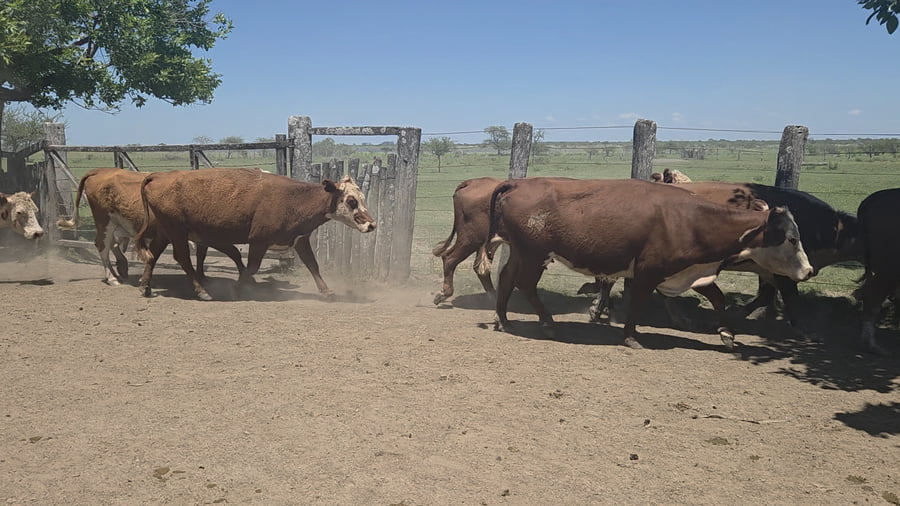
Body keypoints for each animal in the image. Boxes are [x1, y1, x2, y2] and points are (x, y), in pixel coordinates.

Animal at [57, 168, 246, 286]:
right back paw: (112, 277)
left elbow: (202, 254)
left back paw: (122, 267)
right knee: (102, 245)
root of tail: (100, 171)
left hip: (115, 223)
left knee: (112, 244)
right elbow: (231, 252)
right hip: (104, 220)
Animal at [135, 168, 376, 301]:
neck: (294, 199)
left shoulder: (300, 240)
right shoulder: (259, 241)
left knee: (153, 253)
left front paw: (326, 292)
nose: (372, 225)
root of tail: (159, 176)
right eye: (351, 201)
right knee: (182, 257)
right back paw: (202, 291)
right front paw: (238, 288)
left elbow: (312, 265)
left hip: (166, 230)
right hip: (176, 230)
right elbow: (251, 267)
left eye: (362, 198)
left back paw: (145, 286)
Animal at [476, 178, 813, 350]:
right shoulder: (650, 271)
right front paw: (630, 336)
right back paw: (546, 323)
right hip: (535, 255)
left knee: (507, 279)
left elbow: (718, 298)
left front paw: (727, 334)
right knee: (525, 284)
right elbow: (638, 302)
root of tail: (517, 183)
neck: (688, 219)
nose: (808, 271)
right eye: (791, 239)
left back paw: (504, 320)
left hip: (521, 252)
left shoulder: (688, 271)